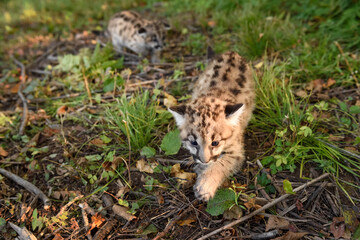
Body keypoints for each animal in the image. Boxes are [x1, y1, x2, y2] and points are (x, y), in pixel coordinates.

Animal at [169, 52, 256, 201]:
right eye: (193, 142)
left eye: (215, 142)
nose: (204, 160)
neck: (213, 95)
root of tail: (231, 53)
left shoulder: (236, 152)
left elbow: (220, 164)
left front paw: (205, 186)